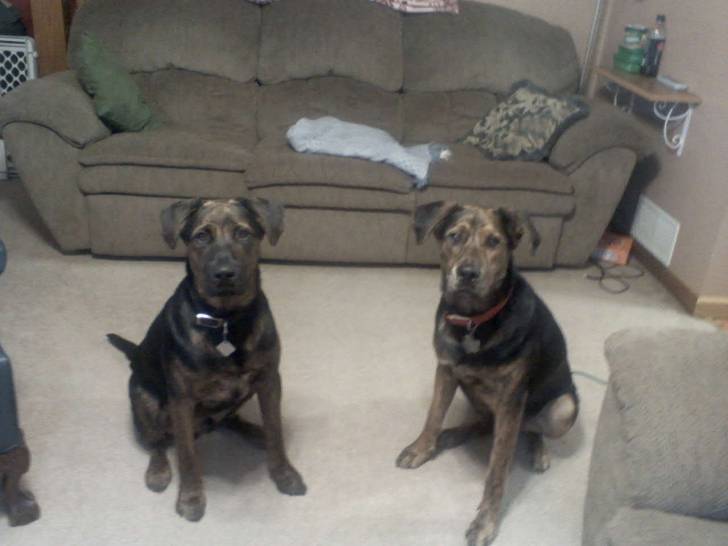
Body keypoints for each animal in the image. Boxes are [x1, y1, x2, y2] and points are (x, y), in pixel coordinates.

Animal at [108, 198, 306, 522]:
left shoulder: (269, 380)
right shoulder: (182, 399)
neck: (225, 319)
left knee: (232, 420)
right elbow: (187, 456)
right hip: (143, 399)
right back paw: (158, 471)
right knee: (156, 442)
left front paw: (284, 474)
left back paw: (256, 432)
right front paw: (190, 498)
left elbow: (276, 432)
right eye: (201, 237)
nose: (224, 273)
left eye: (243, 234)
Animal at [396, 201, 578, 546]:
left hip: (563, 408)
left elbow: (496, 471)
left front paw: (486, 522)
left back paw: (539, 451)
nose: (468, 273)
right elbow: (433, 416)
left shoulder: (512, 398)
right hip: (475, 394)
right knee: (485, 422)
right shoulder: (446, 370)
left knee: (532, 429)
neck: (474, 319)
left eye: (494, 242)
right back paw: (452, 434)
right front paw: (421, 448)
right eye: (454, 236)